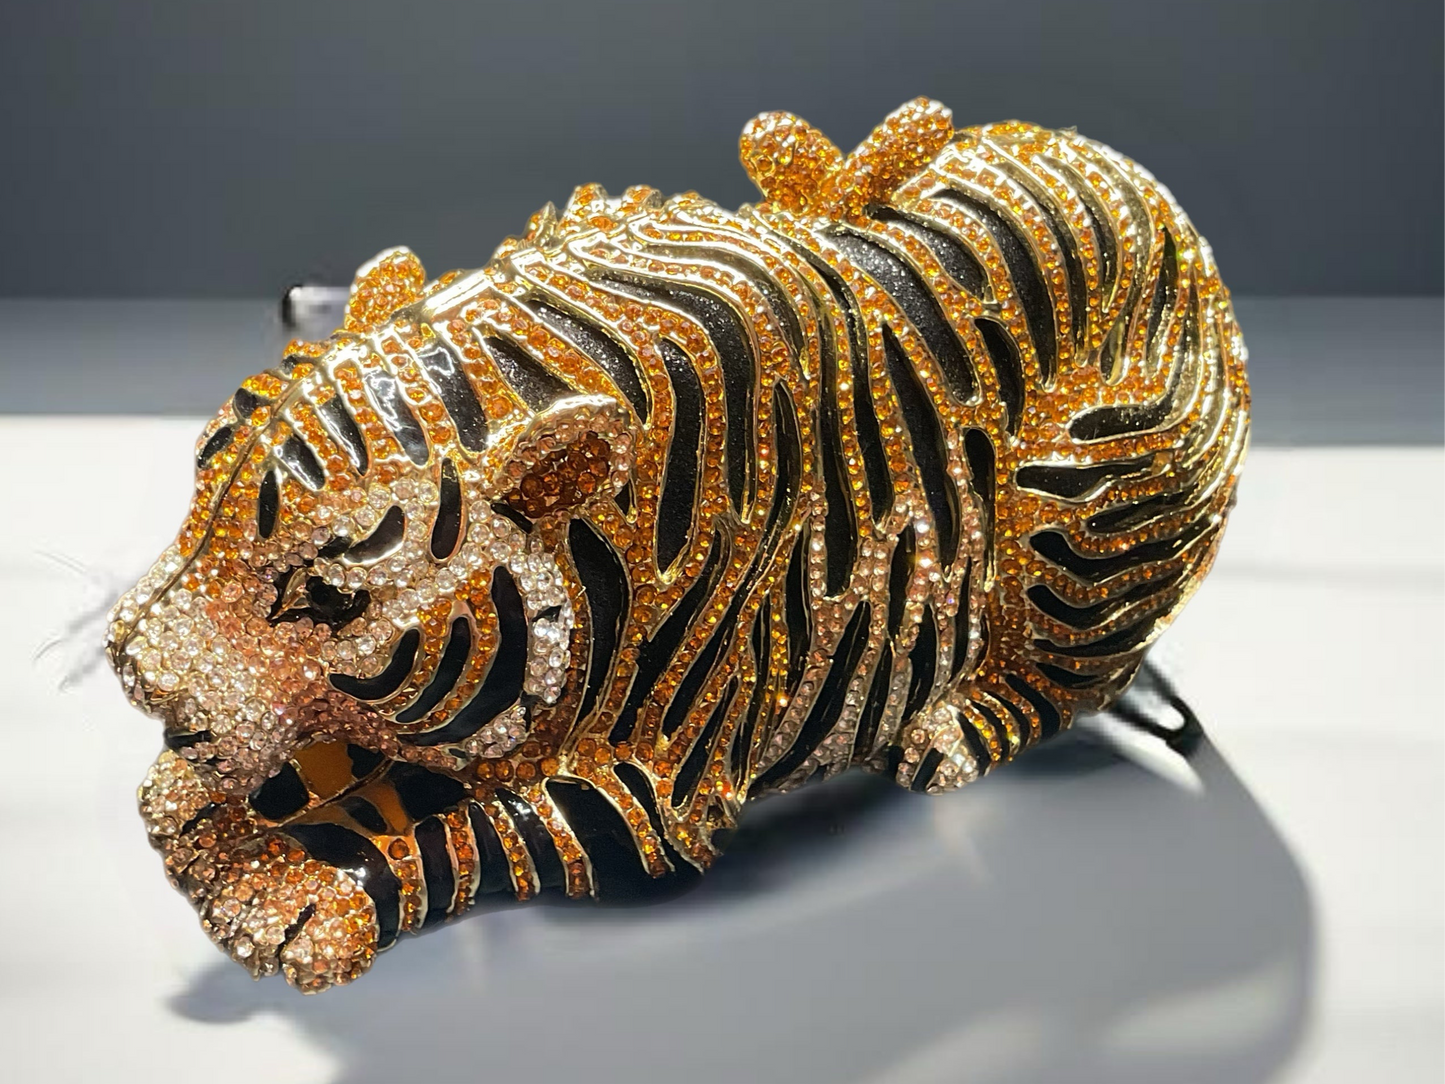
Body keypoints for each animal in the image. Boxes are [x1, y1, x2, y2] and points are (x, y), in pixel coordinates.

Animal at [106, 98, 1249, 992]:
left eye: (328, 593)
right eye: (201, 476)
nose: (131, 666)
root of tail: (1151, 195)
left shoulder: (637, 792)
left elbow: (440, 834)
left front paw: (297, 903)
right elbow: (263, 768)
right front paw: (209, 827)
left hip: (1087, 496)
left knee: (1063, 681)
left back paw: (949, 731)